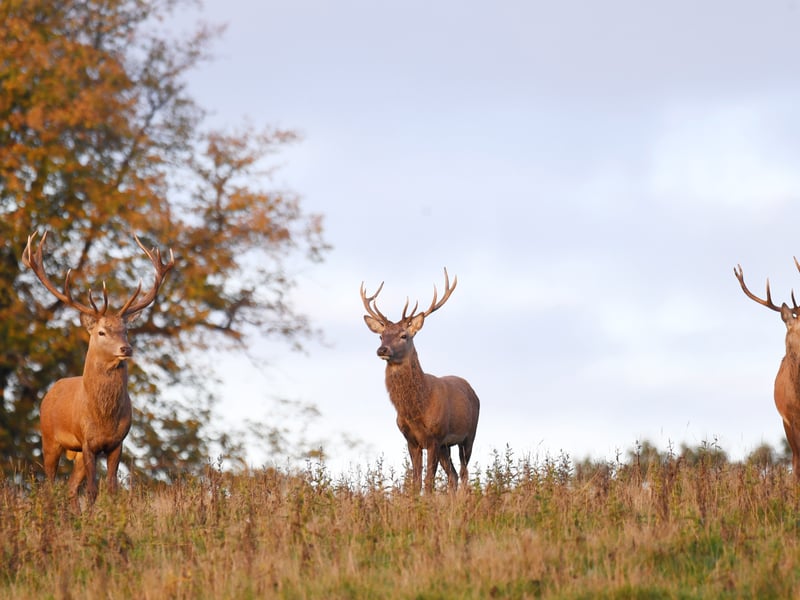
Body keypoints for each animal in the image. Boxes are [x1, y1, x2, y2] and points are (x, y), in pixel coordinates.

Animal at [22, 230, 174, 508]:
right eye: (102, 332)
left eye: (126, 330)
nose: (126, 348)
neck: (103, 417)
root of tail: (50, 391)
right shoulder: (87, 441)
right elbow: (92, 490)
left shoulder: (117, 443)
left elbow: (112, 489)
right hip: (49, 439)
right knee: (49, 484)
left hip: (76, 454)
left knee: (71, 488)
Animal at [361, 268, 480, 494]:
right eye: (381, 336)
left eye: (404, 335)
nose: (382, 350)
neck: (416, 409)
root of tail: (472, 390)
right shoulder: (411, 440)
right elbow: (415, 481)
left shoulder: (434, 437)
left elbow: (429, 481)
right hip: (445, 447)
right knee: (453, 475)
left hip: (469, 435)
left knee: (464, 473)